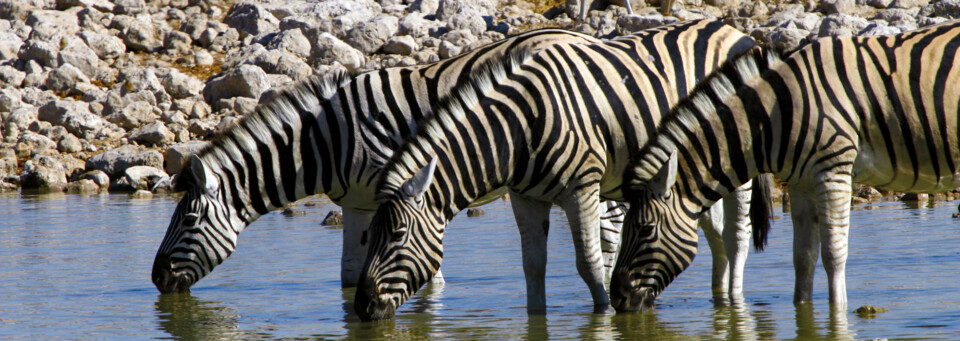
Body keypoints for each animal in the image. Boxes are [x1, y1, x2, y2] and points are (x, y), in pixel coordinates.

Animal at [150, 27, 604, 292]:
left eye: (189, 221)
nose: (156, 278)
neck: (325, 141)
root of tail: (585, 38)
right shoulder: (357, 206)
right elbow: (350, 275)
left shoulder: (408, 202)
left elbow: (427, 280)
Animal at [352, 19, 772, 320]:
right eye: (369, 235)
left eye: (397, 235)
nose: (361, 307)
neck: (518, 129)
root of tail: (735, 31)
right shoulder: (524, 196)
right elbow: (533, 266)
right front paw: (536, 318)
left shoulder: (581, 188)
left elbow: (589, 264)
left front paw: (603, 315)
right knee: (715, 232)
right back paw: (718, 299)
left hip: (738, 159)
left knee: (736, 235)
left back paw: (735, 303)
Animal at [612, 19, 960, 310]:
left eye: (645, 229)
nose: (618, 298)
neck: (773, 116)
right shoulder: (801, 183)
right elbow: (803, 258)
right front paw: (802, 312)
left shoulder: (833, 169)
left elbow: (833, 254)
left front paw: (837, 313)